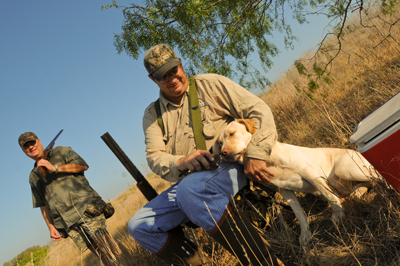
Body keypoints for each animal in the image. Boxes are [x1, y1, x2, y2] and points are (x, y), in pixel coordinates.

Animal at [214, 119, 380, 245]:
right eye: (220, 143)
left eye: (232, 133)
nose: (223, 153)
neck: (267, 159)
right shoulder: (285, 191)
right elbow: (299, 214)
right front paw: (305, 234)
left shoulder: (309, 173)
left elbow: (329, 196)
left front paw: (338, 214)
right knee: (365, 185)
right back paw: (355, 195)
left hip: (344, 169)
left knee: (376, 177)